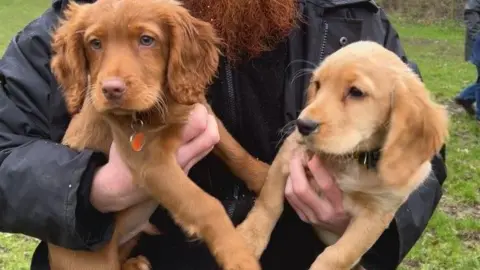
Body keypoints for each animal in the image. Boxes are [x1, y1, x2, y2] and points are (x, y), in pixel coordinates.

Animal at [236, 40, 450, 270]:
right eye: (318, 84)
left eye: (356, 92)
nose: (302, 125)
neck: (352, 159)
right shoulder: (288, 154)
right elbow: (269, 203)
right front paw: (245, 241)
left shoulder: (377, 214)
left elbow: (339, 254)